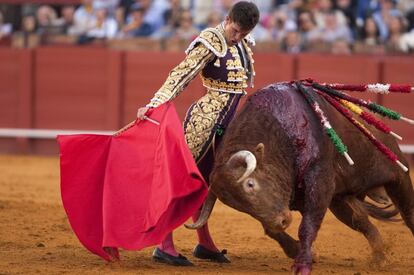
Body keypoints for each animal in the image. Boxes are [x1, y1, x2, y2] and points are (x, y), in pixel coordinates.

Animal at [187, 82, 414, 275]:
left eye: (250, 184)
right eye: (237, 206)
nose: (282, 221)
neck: (280, 135)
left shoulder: (319, 181)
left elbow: (307, 227)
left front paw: (303, 264)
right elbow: (271, 230)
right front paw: (301, 253)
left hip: (398, 174)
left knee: (408, 212)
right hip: (339, 200)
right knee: (360, 221)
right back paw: (380, 257)